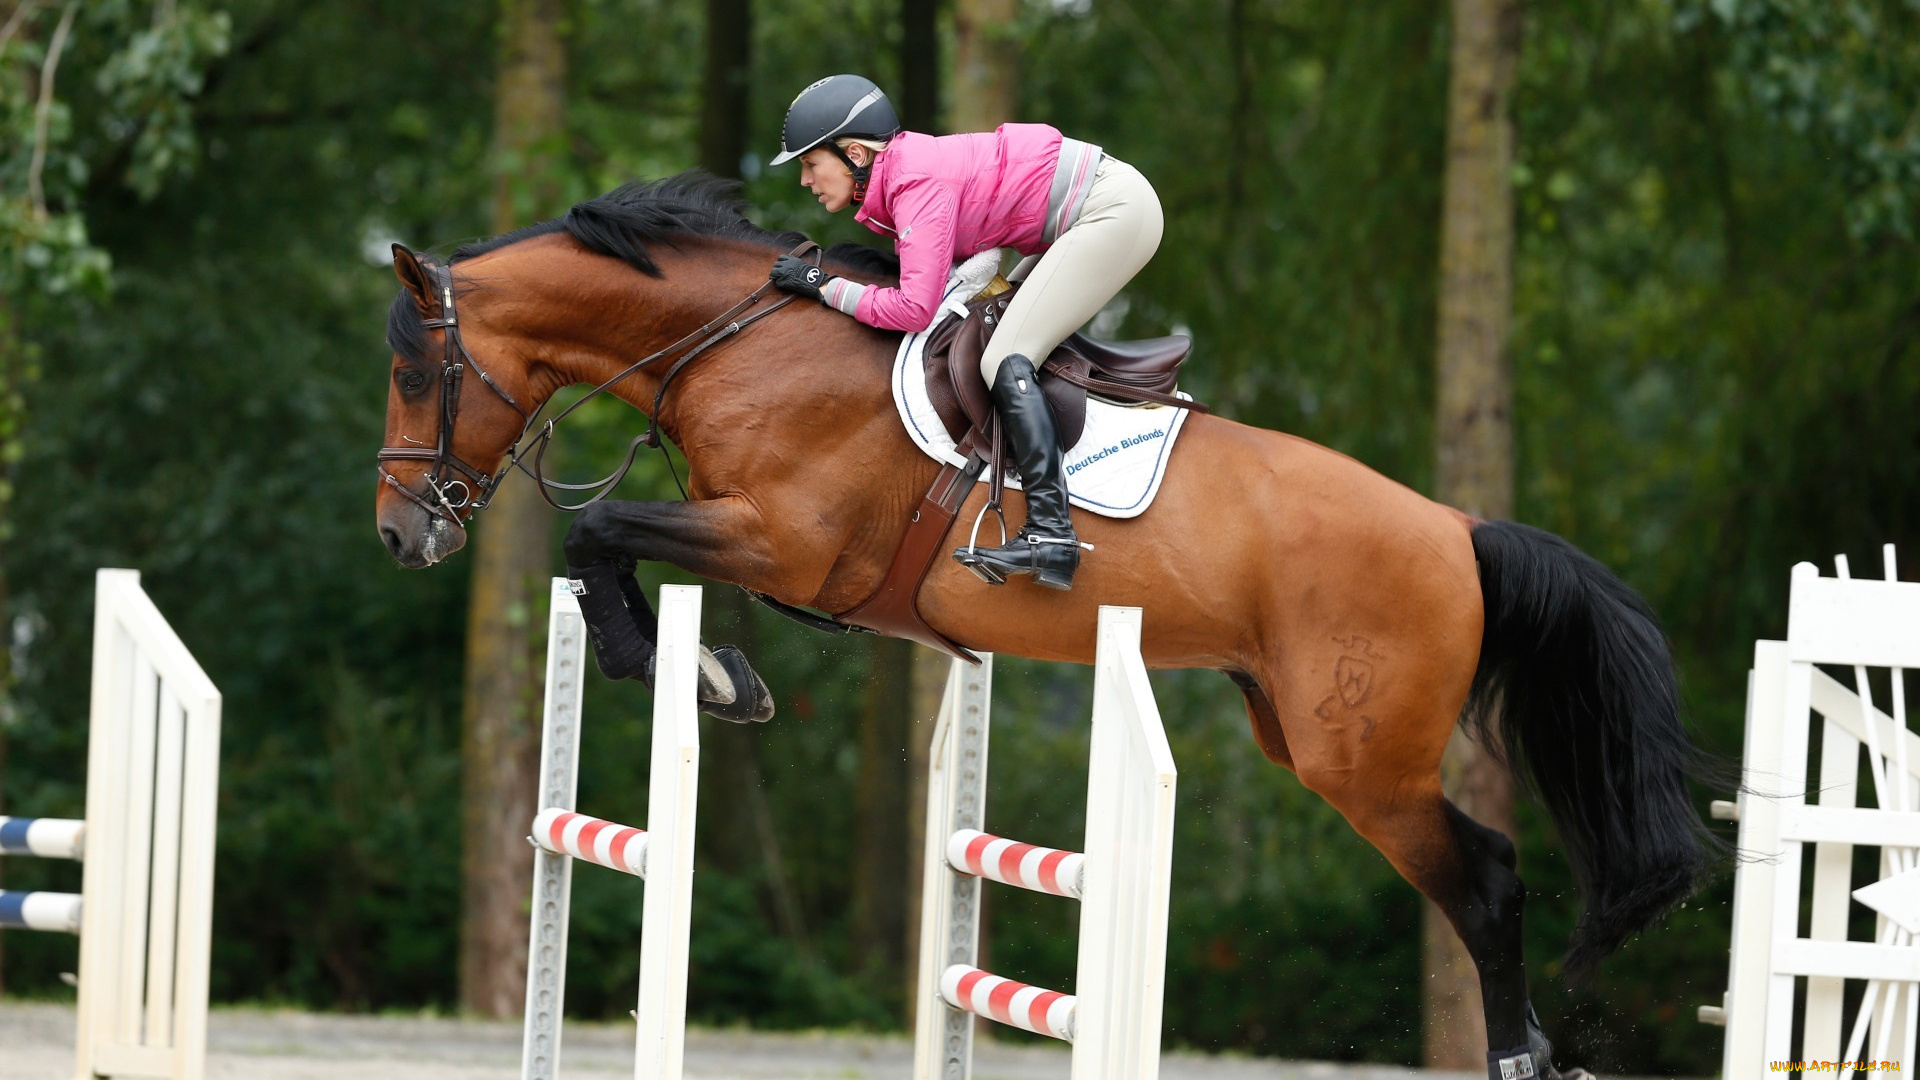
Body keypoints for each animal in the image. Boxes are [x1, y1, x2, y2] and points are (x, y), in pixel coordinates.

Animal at [374, 173, 1715, 1077]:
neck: (742, 342)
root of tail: (1458, 529)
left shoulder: (781, 542)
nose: (402, 537)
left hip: (1364, 762)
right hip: (1300, 734)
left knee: (1485, 881)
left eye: (412, 373)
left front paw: (691, 671)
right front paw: (707, 670)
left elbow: (599, 535)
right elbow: (606, 546)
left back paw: (1522, 1056)